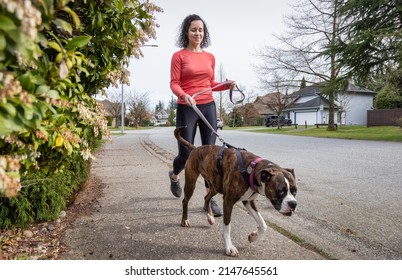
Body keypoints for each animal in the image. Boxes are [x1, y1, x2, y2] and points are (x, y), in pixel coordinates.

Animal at [174, 128, 296, 258]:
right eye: (281, 191)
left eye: (295, 192)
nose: (293, 204)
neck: (251, 170)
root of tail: (195, 149)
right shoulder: (228, 201)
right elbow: (227, 227)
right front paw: (229, 247)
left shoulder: (248, 201)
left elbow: (263, 224)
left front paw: (253, 236)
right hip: (191, 183)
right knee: (185, 201)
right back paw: (185, 220)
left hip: (215, 187)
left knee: (206, 197)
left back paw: (210, 217)